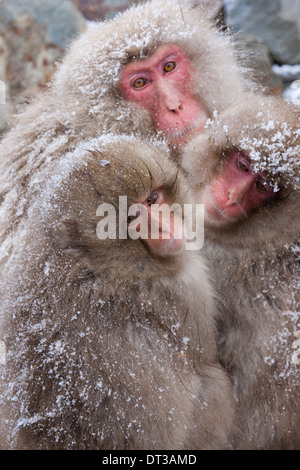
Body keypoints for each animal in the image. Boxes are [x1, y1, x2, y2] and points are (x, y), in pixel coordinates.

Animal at [0, 136, 236, 452]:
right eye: (133, 217)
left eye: (153, 199)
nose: (165, 228)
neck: (95, 263)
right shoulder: (185, 290)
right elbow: (206, 362)